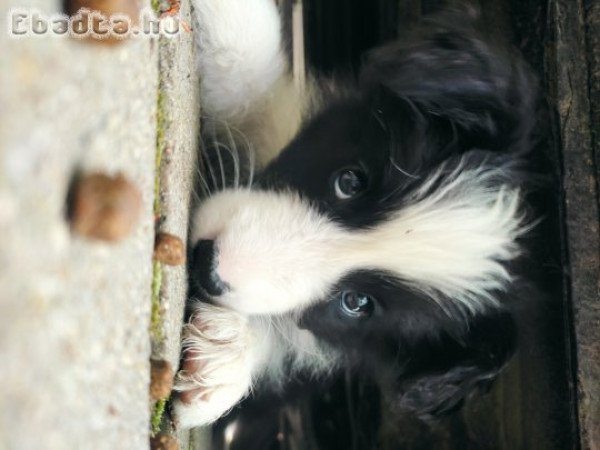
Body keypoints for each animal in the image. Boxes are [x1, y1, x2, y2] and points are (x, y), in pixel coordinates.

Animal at [171, 0, 536, 430]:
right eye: (349, 181)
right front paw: (229, 16)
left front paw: (225, 359)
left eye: (356, 302)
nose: (207, 263)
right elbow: (256, 85)